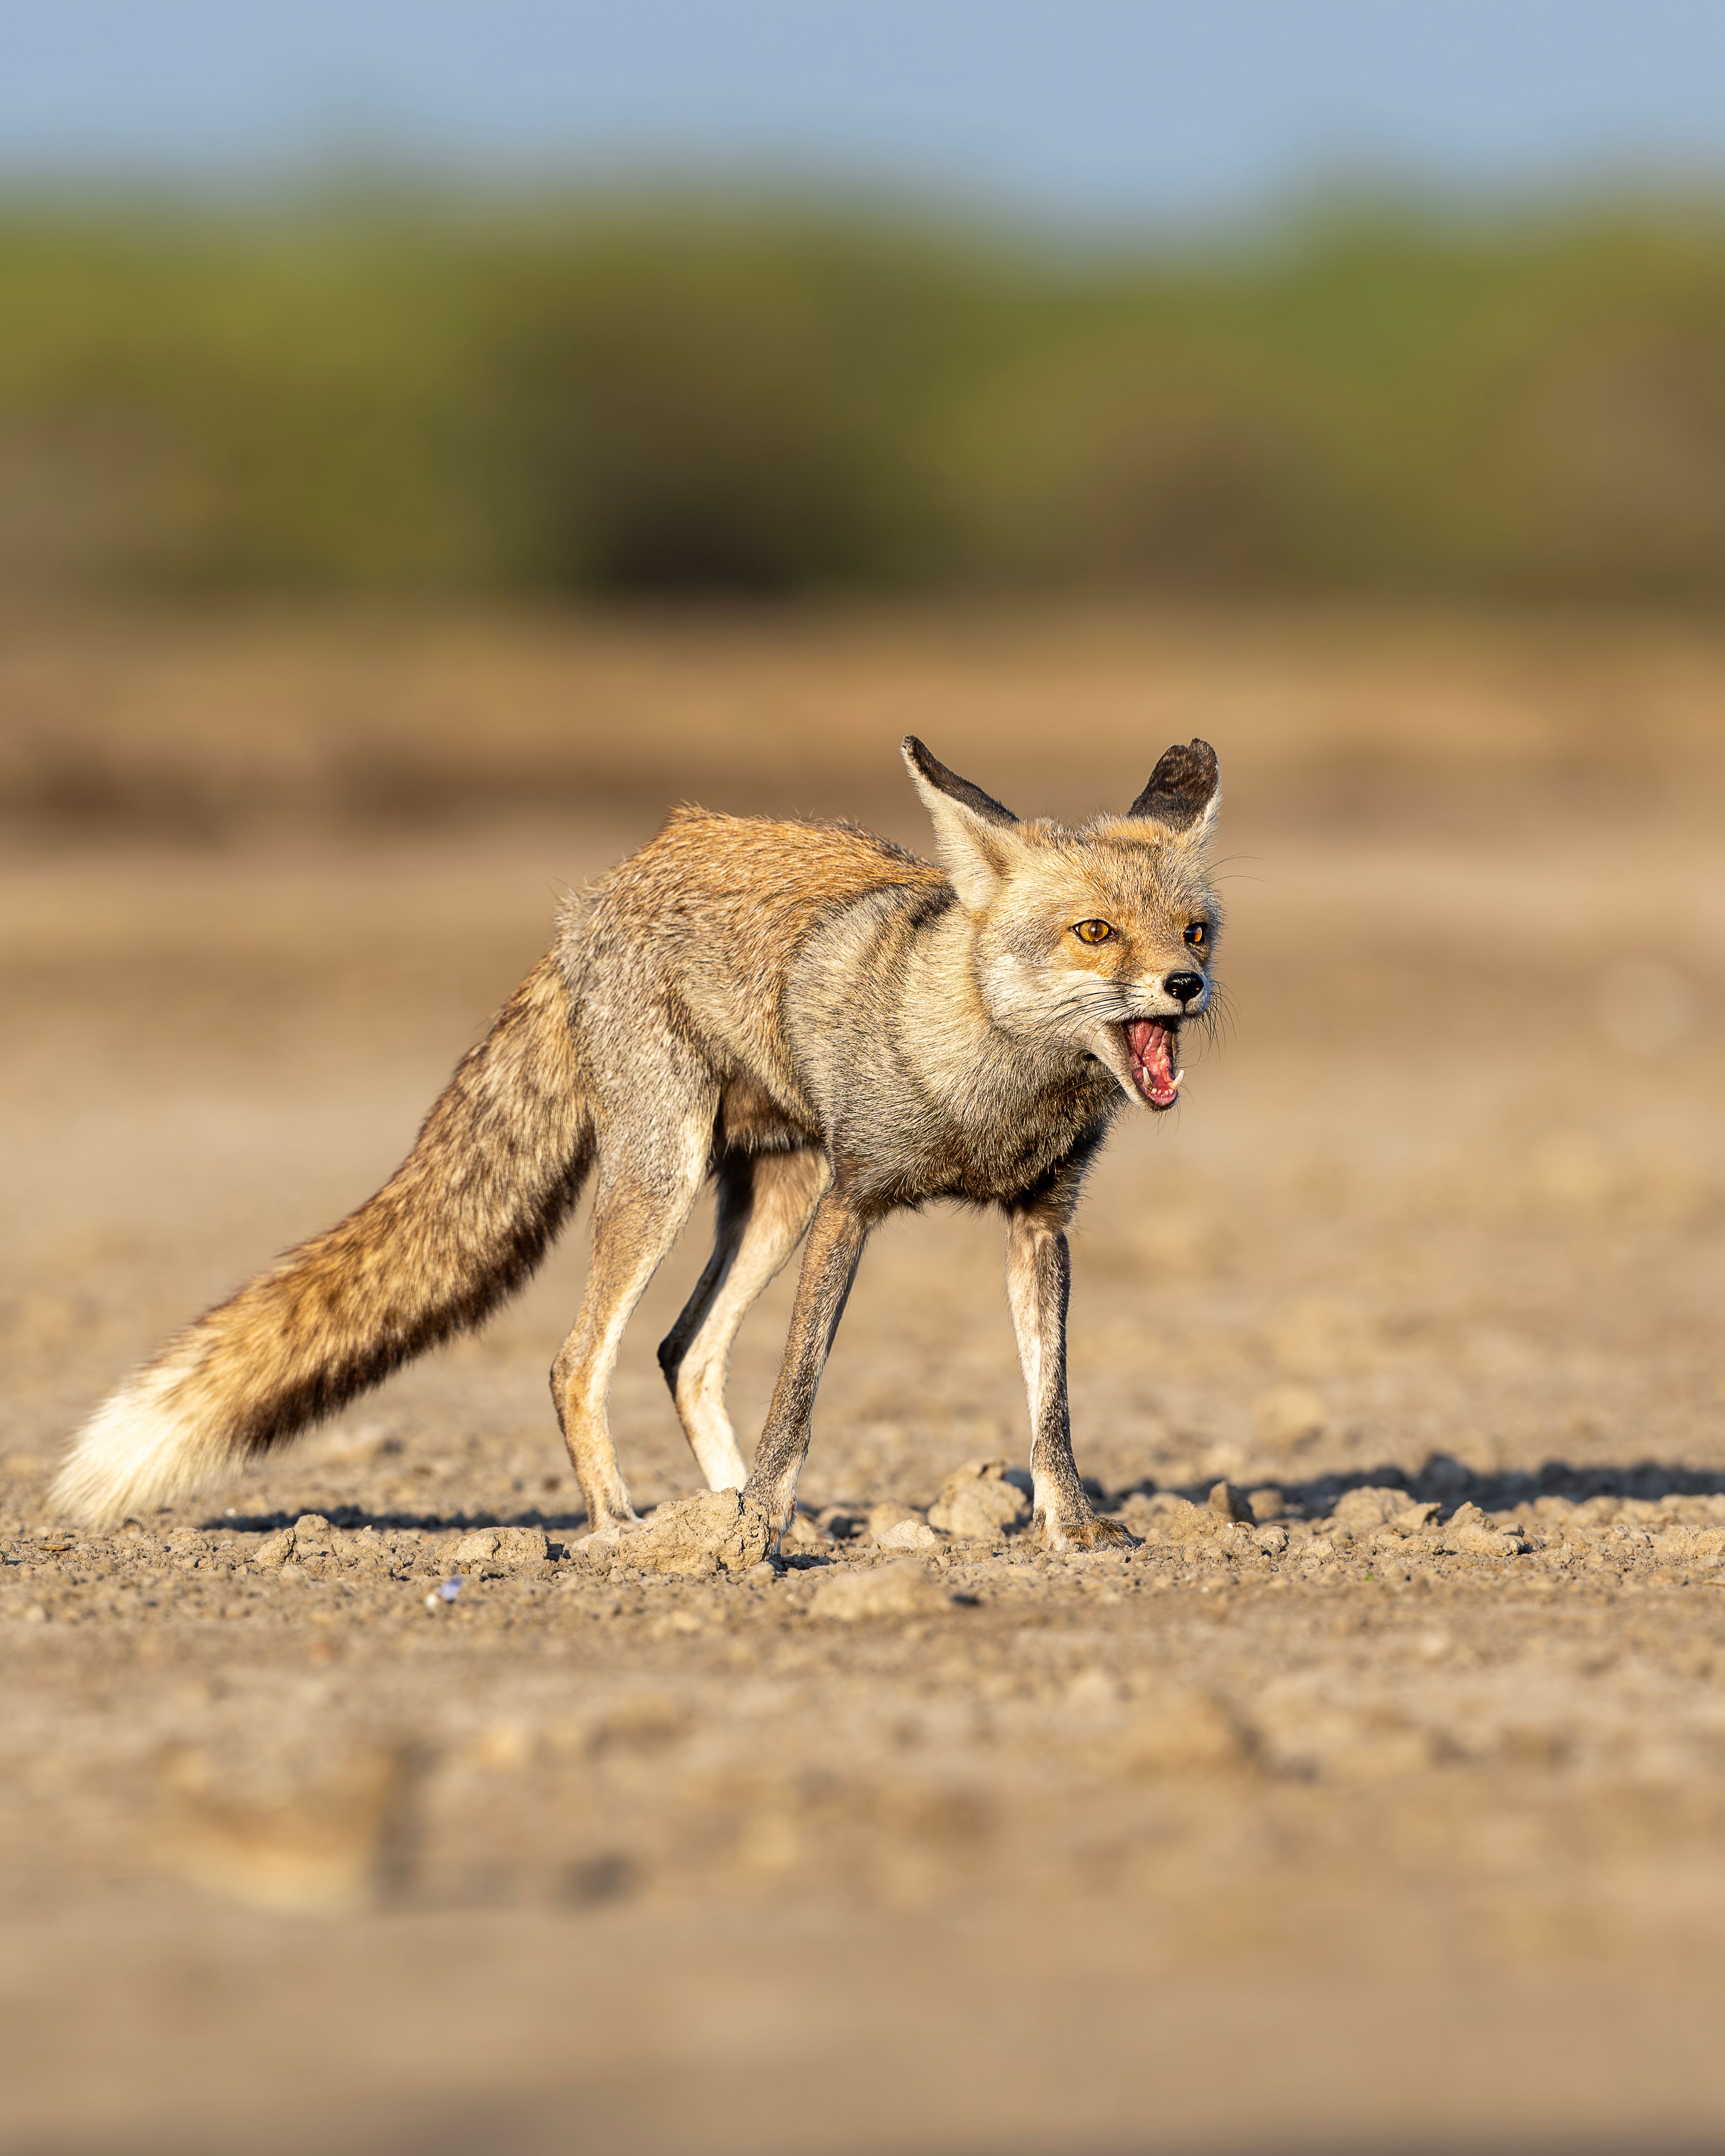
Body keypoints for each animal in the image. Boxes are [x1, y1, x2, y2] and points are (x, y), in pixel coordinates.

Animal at [54, 735, 1222, 1553]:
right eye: (1093, 933)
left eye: (1195, 929)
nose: (1186, 986)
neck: (987, 1095)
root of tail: (590, 901)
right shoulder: (855, 1200)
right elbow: (798, 1392)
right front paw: (758, 1532)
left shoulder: (1038, 1220)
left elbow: (1050, 1409)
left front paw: (1071, 1529)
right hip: (668, 1177)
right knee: (581, 1360)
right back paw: (629, 1528)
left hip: (772, 1197)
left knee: (683, 1351)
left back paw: (723, 1510)